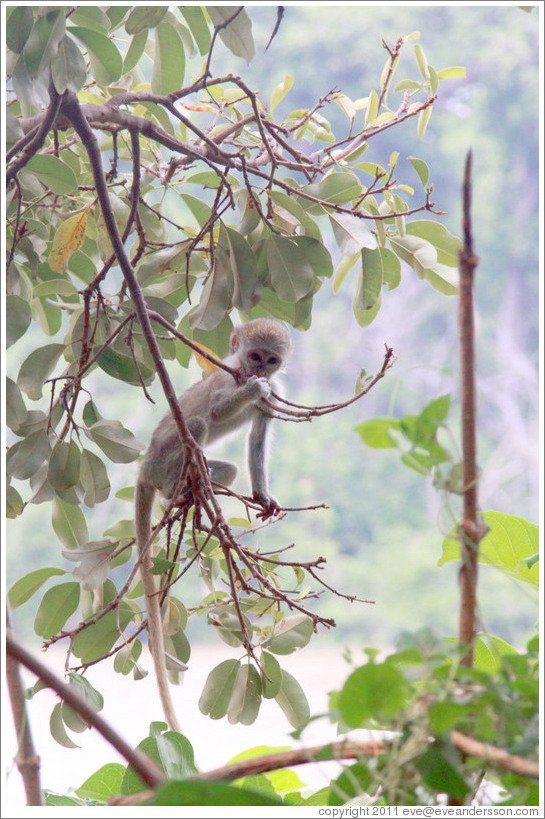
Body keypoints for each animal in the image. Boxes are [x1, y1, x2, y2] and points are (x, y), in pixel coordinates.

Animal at [133, 318, 292, 732]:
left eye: (271, 360)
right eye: (254, 356)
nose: (257, 371)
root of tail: (145, 469)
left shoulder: (279, 392)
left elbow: (258, 438)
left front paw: (263, 495)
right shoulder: (224, 376)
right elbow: (218, 410)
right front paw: (251, 390)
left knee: (230, 468)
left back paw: (191, 491)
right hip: (164, 456)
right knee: (197, 421)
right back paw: (174, 488)